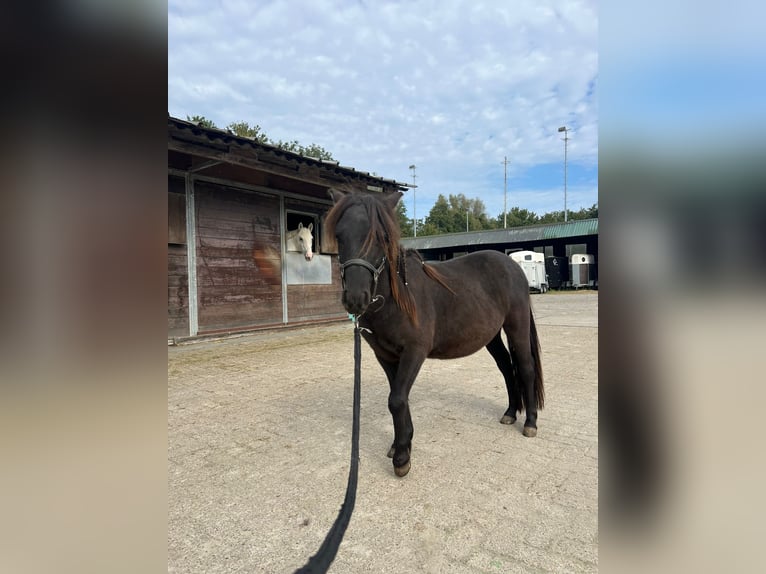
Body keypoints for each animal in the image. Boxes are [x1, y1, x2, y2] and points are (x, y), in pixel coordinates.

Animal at [328, 189, 544, 476]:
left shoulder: (414, 352)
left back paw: (530, 422)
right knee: (507, 367)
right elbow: (399, 398)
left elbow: (397, 400)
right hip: (491, 335)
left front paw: (402, 458)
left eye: (382, 237)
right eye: (340, 235)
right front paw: (400, 445)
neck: (399, 298)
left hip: (516, 326)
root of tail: (511, 264)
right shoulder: (385, 356)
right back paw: (510, 412)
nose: (355, 298)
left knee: (526, 368)